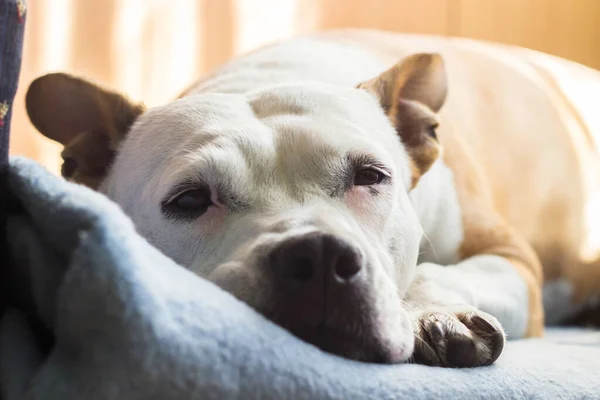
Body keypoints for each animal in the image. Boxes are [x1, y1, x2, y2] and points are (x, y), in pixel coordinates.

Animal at [23, 29, 600, 368]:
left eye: (370, 176)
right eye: (188, 201)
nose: (318, 255)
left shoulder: (513, 259)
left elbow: (436, 271)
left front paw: (437, 312)